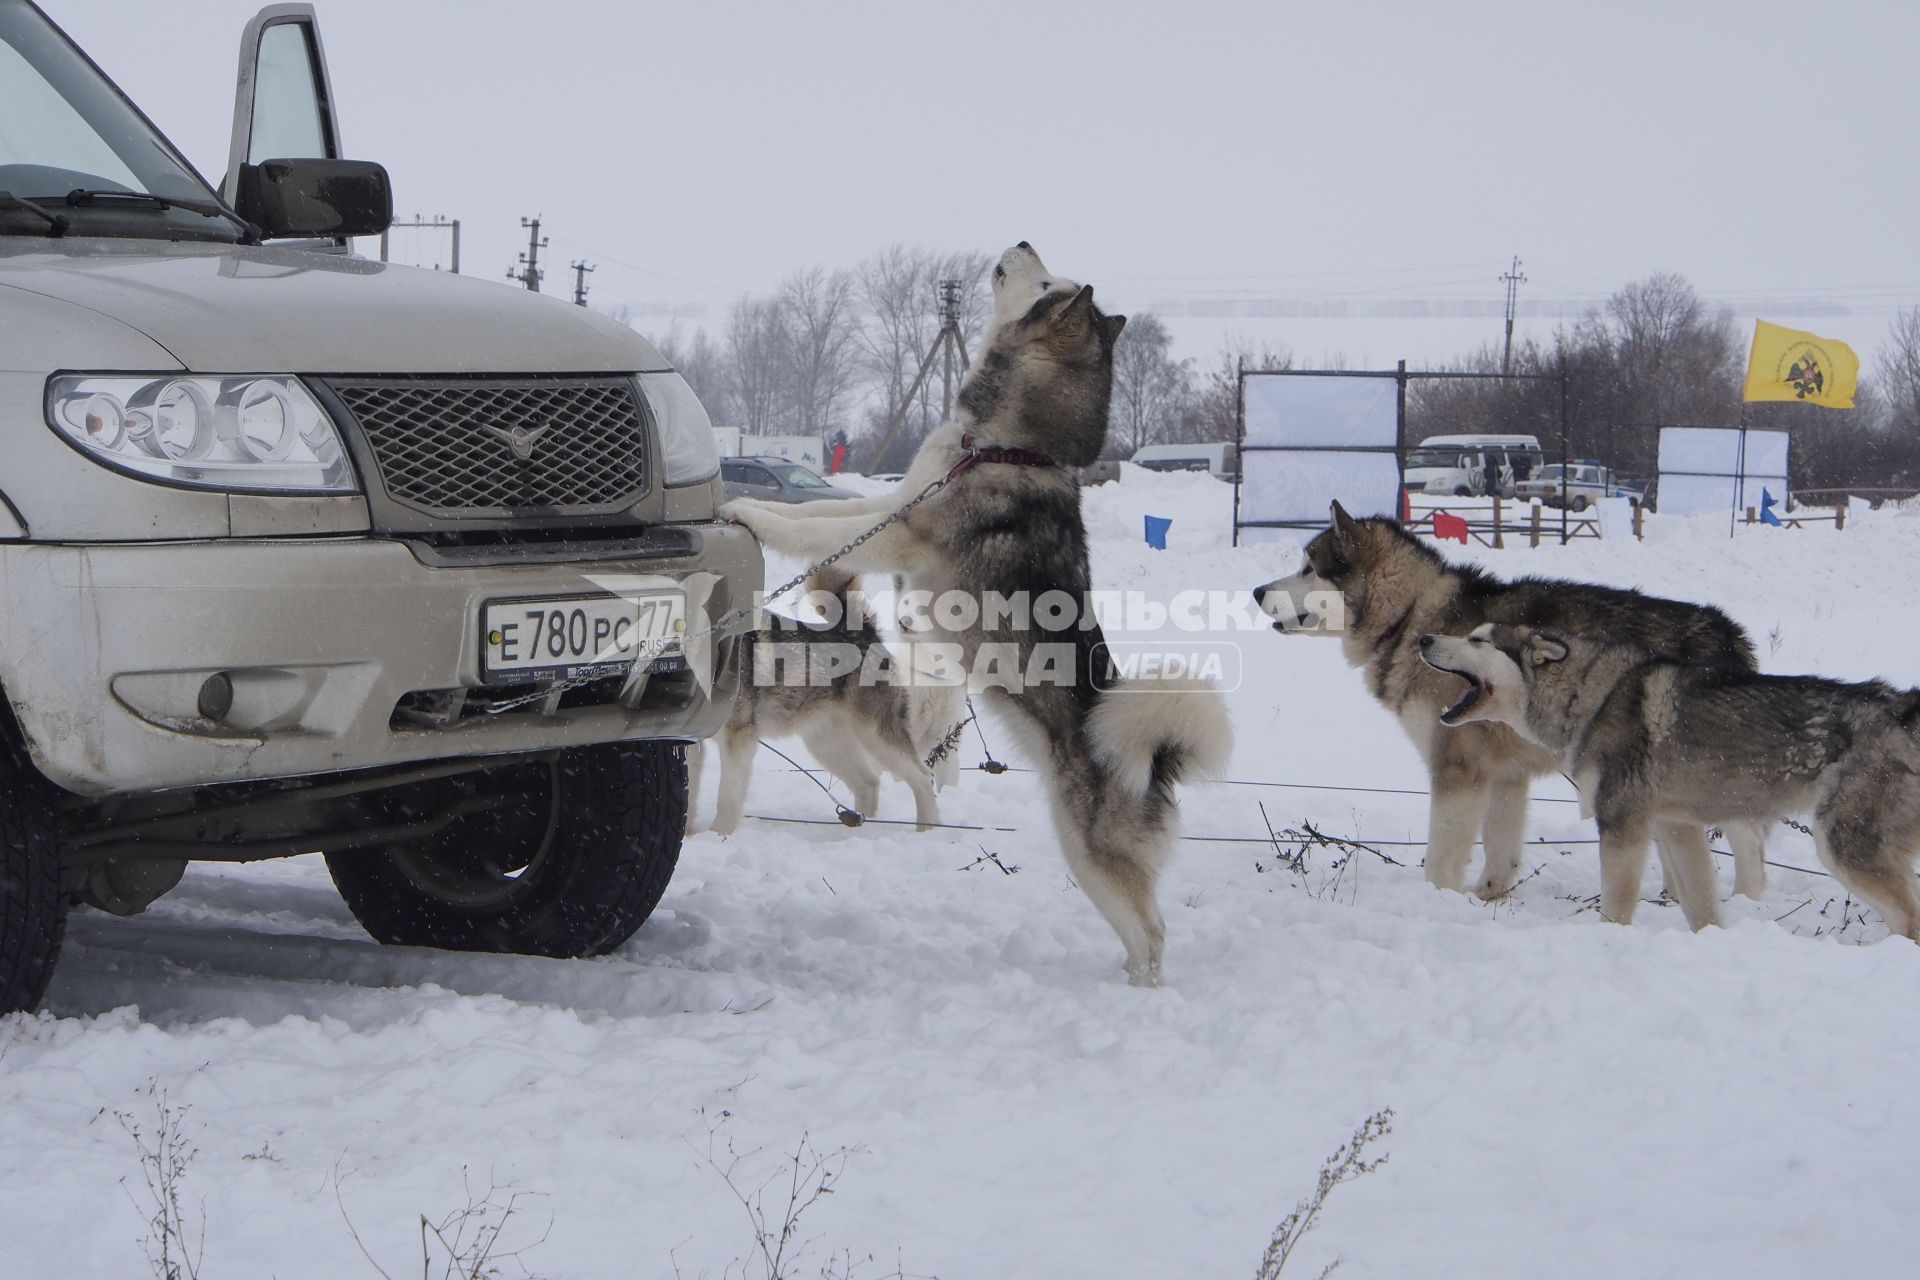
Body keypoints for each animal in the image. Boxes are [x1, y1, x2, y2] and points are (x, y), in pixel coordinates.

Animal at [721, 245, 1228, 990]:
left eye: (1046, 283)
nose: (1020, 243)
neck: (1006, 444)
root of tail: (1157, 761)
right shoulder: (895, 504)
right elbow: (824, 513)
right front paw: (747, 506)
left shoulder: (901, 532)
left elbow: (814, 530)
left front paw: (750, 515)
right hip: (1086, 861)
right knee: (1142, 933)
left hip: (1094, 855)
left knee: (1156, 933)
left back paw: (1141, 996)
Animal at [1244, 506, 1766, 924]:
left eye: (1308, 569)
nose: (1255, 591)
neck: (1411, 617)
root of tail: (1728, 631)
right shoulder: (1506, 775)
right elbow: (1501, 853)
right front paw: (1487, 900)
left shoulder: (1457, 768)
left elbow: (1441, 857)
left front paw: (1438, 901)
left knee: (1751, 844)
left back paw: (1747, 903)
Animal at [1420, 625, 1920, 936]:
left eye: (1478, 638)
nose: (1424, 637)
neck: (1594, 696)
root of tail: (1903, 709)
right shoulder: (1677, 829)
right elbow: (1701, 907)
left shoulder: (1623, 828)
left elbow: (1616, 907)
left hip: (1841, 847)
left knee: (1908, 922)